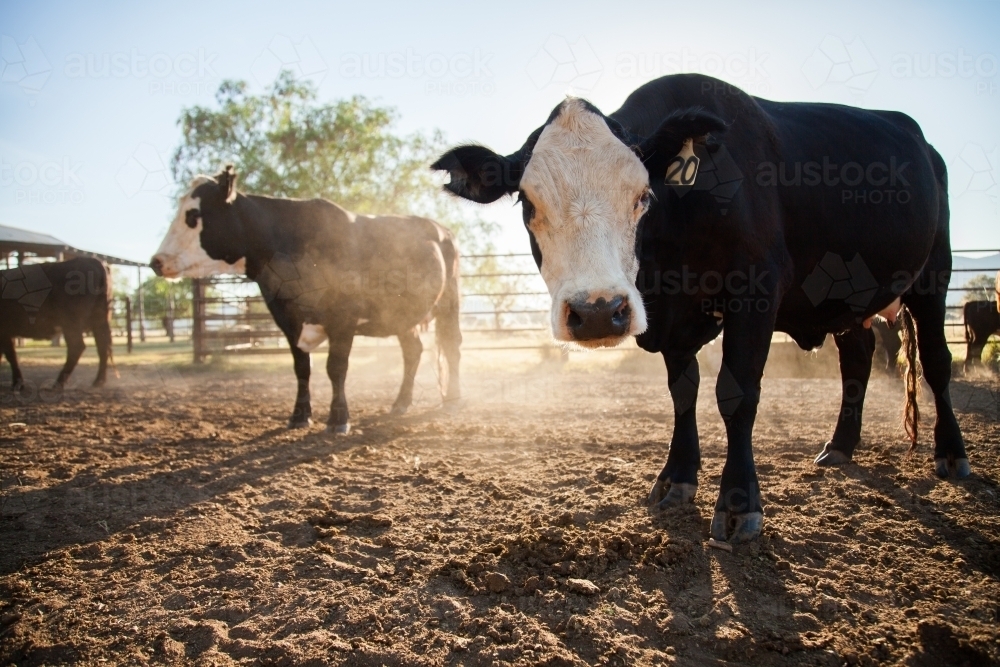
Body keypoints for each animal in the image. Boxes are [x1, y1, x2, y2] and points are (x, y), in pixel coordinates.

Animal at [0, 258, 114, 392]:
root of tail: (94, 261)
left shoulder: (4, 332)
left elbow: (11, 355)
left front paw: (18, 384)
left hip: (71, 324)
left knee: (77, 347)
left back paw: (57, 384)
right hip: (99, 321)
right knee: (103, 346)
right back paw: (98, 381)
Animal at [150, 164, 462, 430]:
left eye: (193, 215)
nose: (156, 261)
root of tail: (440, 229)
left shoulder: (343, 319)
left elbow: (336, 367)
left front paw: (338, 419)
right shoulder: (289, 320)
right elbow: (302, 369)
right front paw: (299, 416)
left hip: (449, 302)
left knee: (452, 346)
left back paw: (452, 400)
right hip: (402, 315)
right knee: (413, 351)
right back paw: (400, 403)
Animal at [436, 73, 968, 544]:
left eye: (643, 196)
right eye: (528, 202)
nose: (598, 311)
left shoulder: (756, 288)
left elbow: (736, 394)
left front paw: (738, 504)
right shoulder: (672, 321)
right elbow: (682, 393)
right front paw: (677, 477)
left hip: (933, 275)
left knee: (938, 363)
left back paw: (952, 454)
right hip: (845, 296)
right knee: (856, 355)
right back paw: (839, 446)